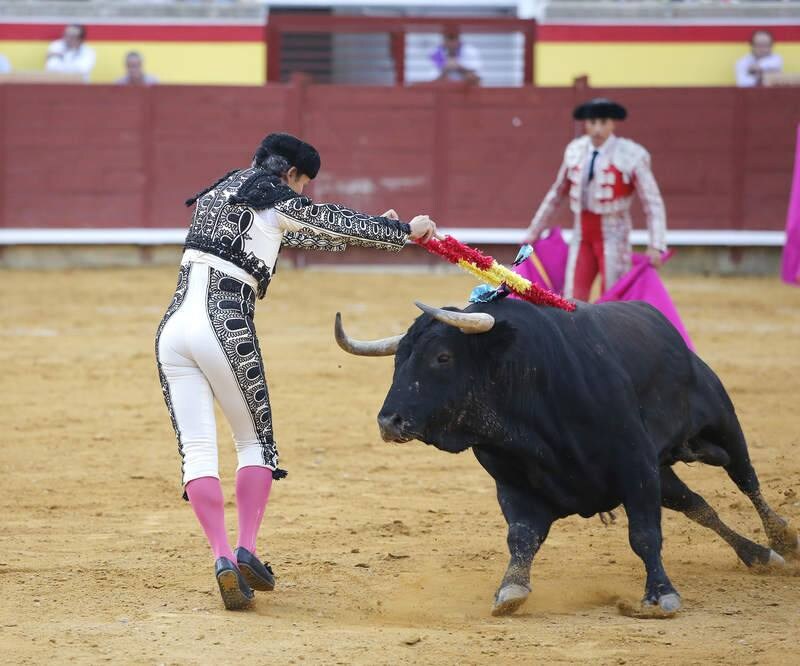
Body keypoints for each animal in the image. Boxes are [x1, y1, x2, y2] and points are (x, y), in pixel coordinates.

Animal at [334, 298, 796, 616]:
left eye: (442, 357)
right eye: (398, 359)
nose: (389, 421)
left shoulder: (636, 466)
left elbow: (644, 535)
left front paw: (661, 595)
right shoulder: (512, 482)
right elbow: (521, 537)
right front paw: (511, 591)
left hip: (721, 423)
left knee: (747, 479)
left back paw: (783, 540)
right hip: (666, 471)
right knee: (699, 506)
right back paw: (758, 555)